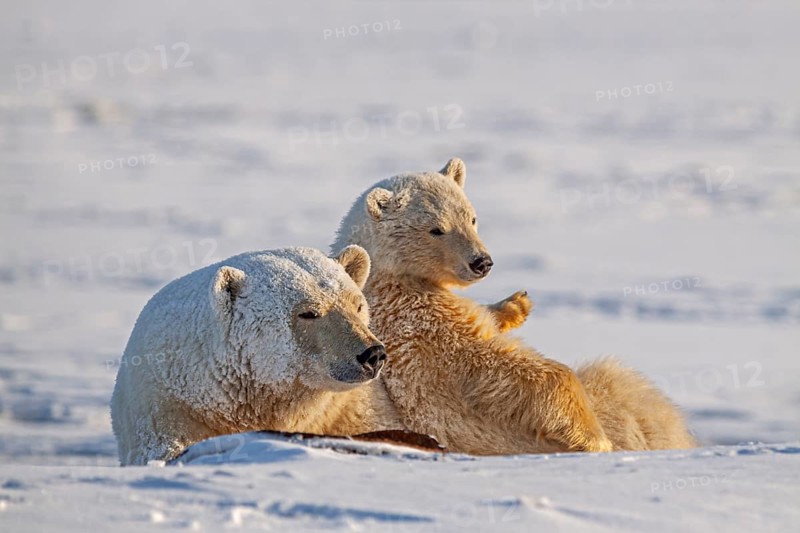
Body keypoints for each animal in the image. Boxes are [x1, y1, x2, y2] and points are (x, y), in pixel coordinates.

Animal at [332, 158, 696, 454]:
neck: (392, 276)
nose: (481, 262)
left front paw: (517, 303)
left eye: (472, 218)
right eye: (436, 229)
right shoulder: (419, 326)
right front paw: (595, 438)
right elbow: (506, 370)